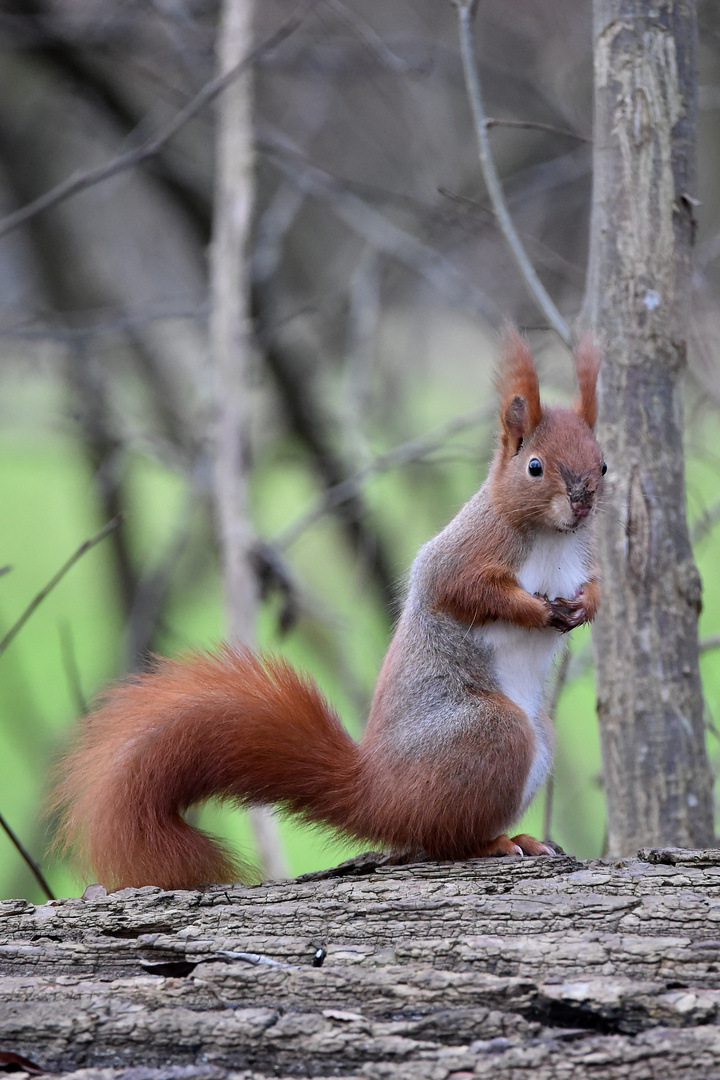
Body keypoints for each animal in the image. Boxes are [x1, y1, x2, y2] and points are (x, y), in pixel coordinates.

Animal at [52, 330, 604, 894]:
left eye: (603, 464)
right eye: (535, 466)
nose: (582, 502)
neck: (552, 539)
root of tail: (382, 795)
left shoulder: (584, 559)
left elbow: (599, 588)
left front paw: (583, 606)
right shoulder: (466, 552)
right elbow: (463, 590)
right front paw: (534, 611)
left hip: (537, 736)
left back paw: (522, 837)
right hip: (492, 733)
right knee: (443, 840)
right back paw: (495, 842)